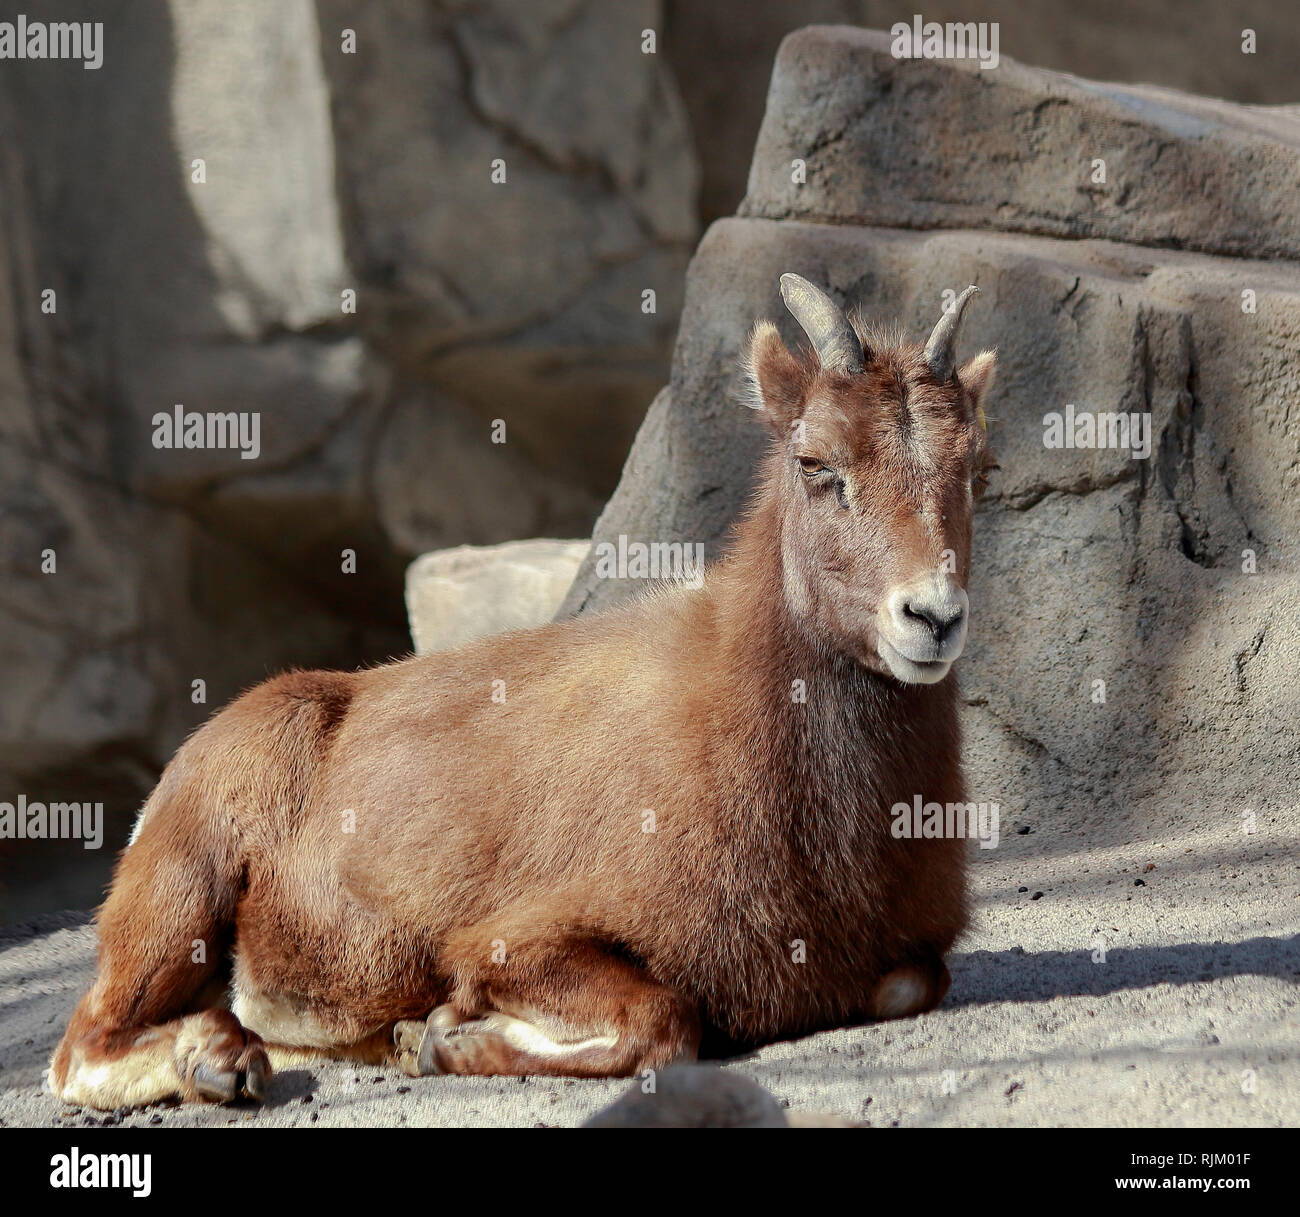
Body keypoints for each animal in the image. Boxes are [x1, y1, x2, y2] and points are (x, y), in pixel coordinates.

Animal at [48, 273, 993, 1102]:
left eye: (975, 467)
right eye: (815, 461)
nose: (931, 616)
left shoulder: (902, 961)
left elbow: (911, 982)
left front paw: (416, 1034)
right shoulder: (520, 939)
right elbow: (663, 1021)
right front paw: (440, 1033)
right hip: (179, 895)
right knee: (79, 1049)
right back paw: (219, 1064)